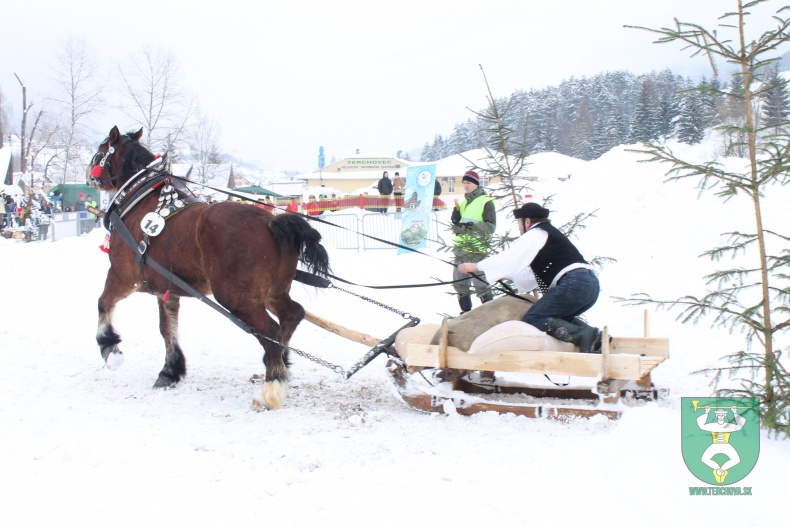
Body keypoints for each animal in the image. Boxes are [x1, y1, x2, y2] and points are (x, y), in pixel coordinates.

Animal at [89, 126, 332, 410]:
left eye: (100, 152)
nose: (90, 176)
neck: (139, 201)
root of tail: (272, 221)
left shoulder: (122, 276)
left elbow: (103, 302)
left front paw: (109, 348)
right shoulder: (165, 289)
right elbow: (167, 328)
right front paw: (170, 371)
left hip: (236, 298)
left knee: (270, 331)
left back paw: (271, 388)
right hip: (273, 291)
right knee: (292, 315)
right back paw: (280, 363)